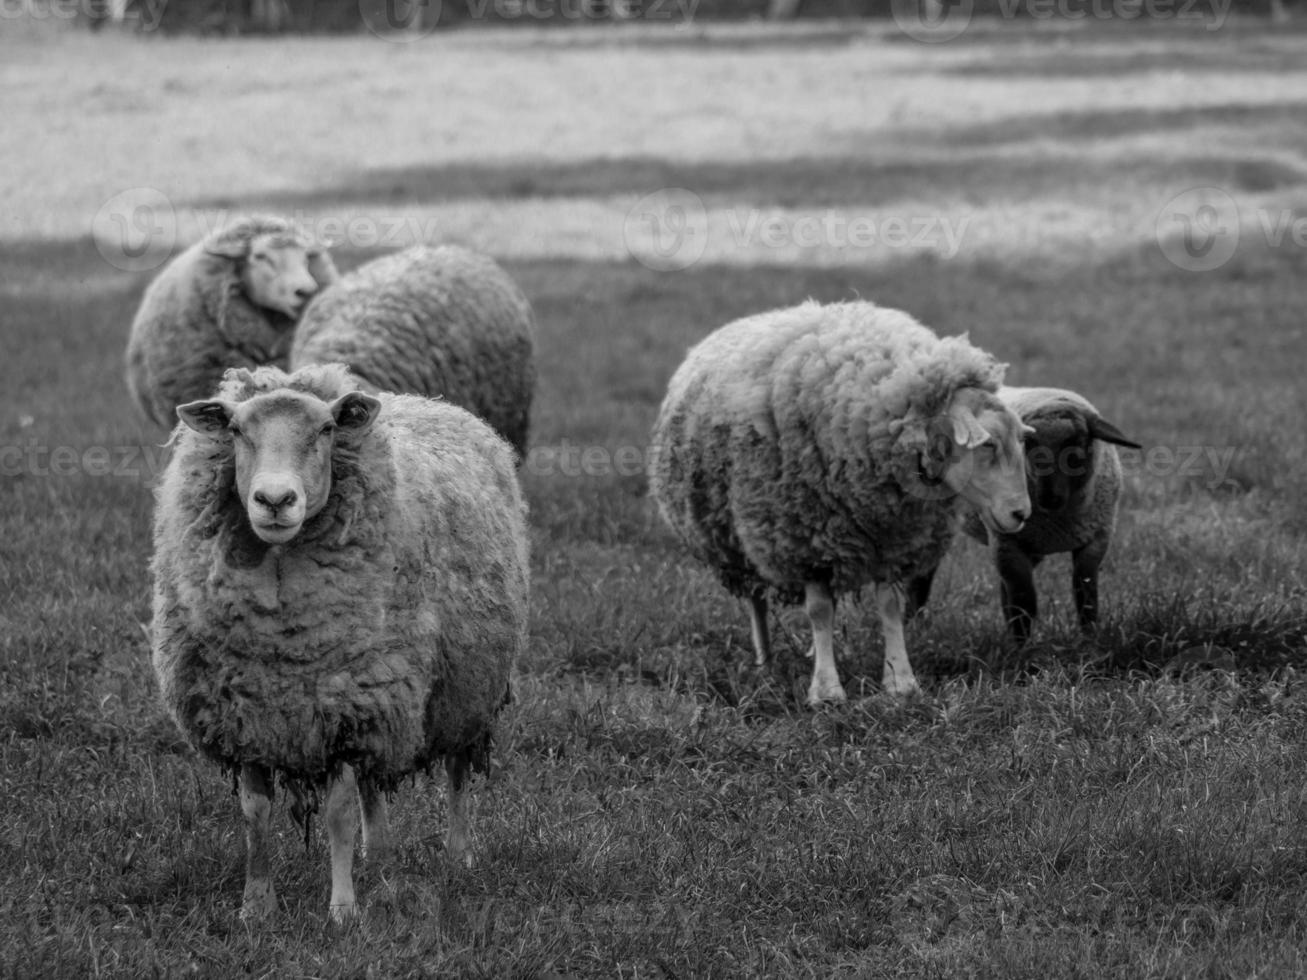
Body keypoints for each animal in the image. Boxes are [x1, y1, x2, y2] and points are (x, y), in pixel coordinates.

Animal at [155, 365, 533, 925]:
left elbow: (337, 814)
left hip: (463, 685)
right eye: (237, 431)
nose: (274, 501)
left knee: (458, 770)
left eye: (326, 430)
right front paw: (256, 906)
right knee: (375, 784)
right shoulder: (247, 712)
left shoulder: (346, 708)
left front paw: (342, 910)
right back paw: (378, 855)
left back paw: (458, 854)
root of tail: (432, 401)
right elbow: (254, 812)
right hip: (387, 694)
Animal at [648, 299, 1035, 705]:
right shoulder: (807, 541)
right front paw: (826, 690)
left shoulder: (893, 539)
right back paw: (765, 662)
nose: (1021, 513)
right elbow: (819, 612)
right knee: (756, 600)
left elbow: (890, 608)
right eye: (988, 444)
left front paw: (900, 681)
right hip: (737, 541)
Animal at [914, 386, 1139, 648]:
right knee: (923, 576)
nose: (1049, 498)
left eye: (1079, 443)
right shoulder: (1007, 545)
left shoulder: (1096, 541)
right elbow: (1024, 602)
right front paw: (1022, 648)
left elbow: (1086, 595)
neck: (1057, 521)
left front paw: (1090, 639)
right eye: (1029, 444)